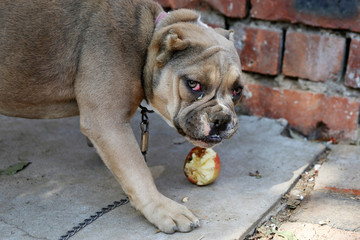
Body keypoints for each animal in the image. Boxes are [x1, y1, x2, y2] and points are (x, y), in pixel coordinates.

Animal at [0, 0, 243, 233]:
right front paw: (163, 208)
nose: (221, 119)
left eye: (237, 91)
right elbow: (138, 171)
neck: (147, 39)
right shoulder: (107, 123)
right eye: (194, 84)